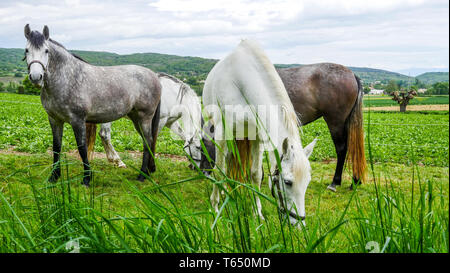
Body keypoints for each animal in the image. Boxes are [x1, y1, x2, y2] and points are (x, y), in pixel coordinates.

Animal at [24, 24, 162, 185]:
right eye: (26, 50)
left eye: (46, 51)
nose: (36, 77)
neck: (68, 78)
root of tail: (154, 76)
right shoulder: (54, 120)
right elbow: (56, 147)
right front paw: (54, 177)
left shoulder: (77, 120)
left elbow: (82, 148)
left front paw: (86, 179)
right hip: (135, 118)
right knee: (149, 141)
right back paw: (148, 172)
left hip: (144, 117)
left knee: (147, 142)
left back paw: (142, 175)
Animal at [200, 62, 366, 190]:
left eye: (202, 146)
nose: (204, 172)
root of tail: (352, 74)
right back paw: (355, 181)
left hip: (335, 122)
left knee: (342, 149)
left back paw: (335, 182)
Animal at [203, 39, 316, 224]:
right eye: (288, 182)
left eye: (307, 182)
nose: (298, 223)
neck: (241, 82)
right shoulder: (221, 133)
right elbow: (219, 171)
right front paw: (215, 207)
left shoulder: (257, 137)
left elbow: (255, 174)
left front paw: (257, 213)